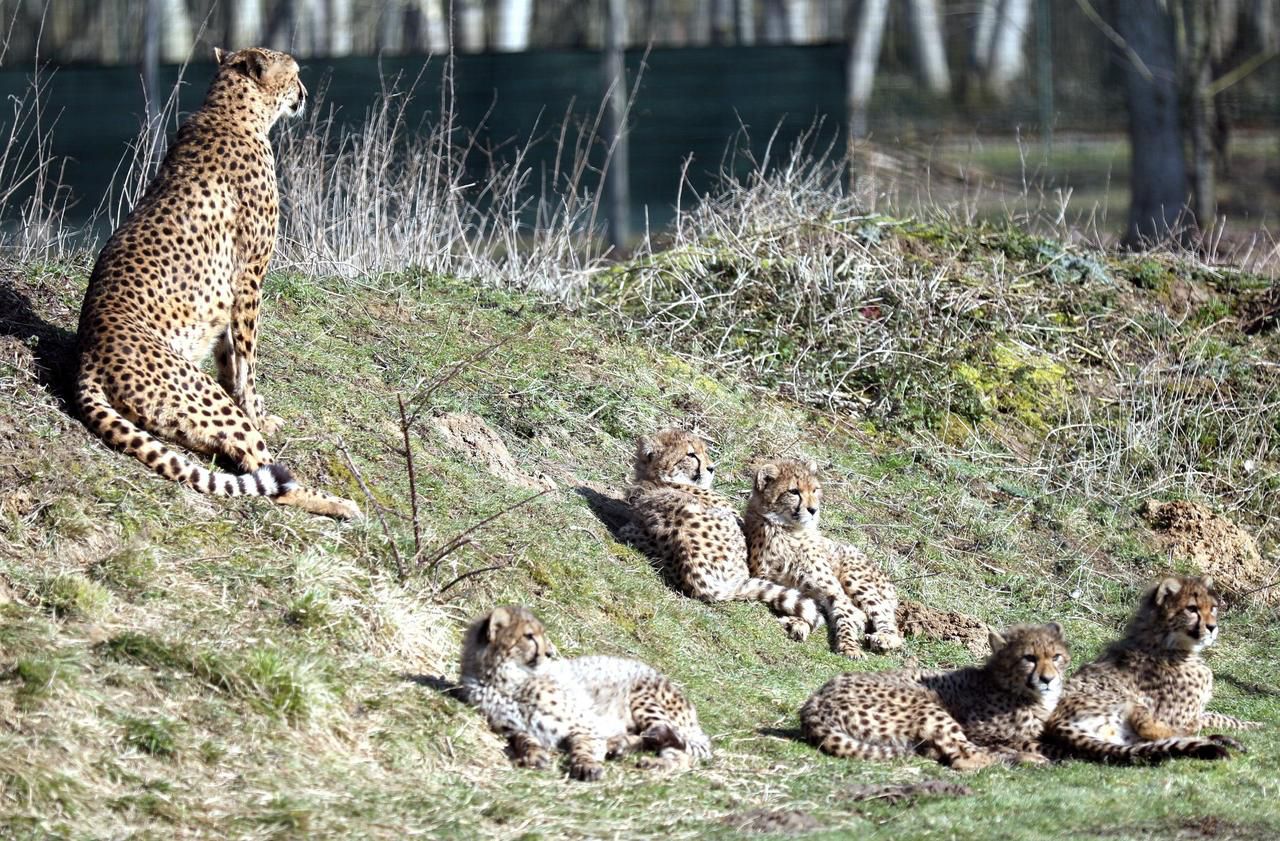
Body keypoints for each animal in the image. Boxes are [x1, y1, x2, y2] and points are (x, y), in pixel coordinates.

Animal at [74, 47, 358, 517]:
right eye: (295, 74)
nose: (304, 93)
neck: (231, 110)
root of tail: (88, 356)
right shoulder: (250, 279)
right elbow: (248, 362)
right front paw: (258, 412)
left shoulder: (229, 296)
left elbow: (230, 359)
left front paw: (259, 410)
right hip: (199, 393)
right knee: (267, 476)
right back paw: (337, 503)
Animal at [458, 604, 711, 778]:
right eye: (529, 636)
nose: (550, 653)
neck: (507, 682)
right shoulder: (511, 728)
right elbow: (524, 739)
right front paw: (533, 755)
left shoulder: (584, 725)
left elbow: (584, 746)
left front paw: (586, 765)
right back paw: (622, 746)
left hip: (643, 698)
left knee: (683, 748)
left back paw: (648, 758)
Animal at [747, 455, 906, 660]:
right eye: (794, 491)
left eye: (815, 490)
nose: (813, 510)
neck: (788, 531)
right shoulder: (766, 579)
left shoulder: (832, 589)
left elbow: (845, 615)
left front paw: (849, 647)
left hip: (854, 578)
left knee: (881, 615)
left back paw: (885, 638)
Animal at [798, 622, 1070, 768]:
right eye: (1029, 658)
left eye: (1056, 657)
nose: (1048, 679)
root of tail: (815, 701)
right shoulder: (981, 733)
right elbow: (1029, 741)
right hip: (927, 707)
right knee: (966, 760)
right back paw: (1028, 759)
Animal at [1049, 578, 1259, 762]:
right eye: (1192, 609)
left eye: (1213, 608)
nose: (1212, 627)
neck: (1165, 643)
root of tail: (1056, 723)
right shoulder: (1178, 718)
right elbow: (1213, 718)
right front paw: (1256, 725)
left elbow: (1217, 716)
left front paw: (1253, 725)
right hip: (1128, 701)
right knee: (1156, 731)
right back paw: (1218, 740)